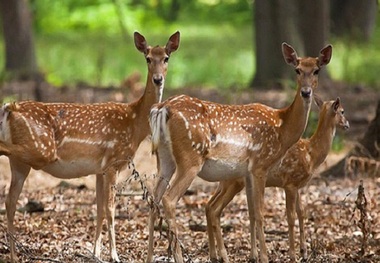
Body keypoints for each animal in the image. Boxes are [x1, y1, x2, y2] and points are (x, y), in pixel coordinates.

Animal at [1, 31, 180, 263]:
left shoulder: (99, 169)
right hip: (40, 149)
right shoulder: (113, 162)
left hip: (21, 164)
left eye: (166, 58)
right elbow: (111, 209)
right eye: (148, 58)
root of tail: (9, 108)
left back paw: (14, 255)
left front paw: (95, 253)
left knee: (10, 202)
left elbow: (99, 208)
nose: (158, 79)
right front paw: (114, 255)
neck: (135, 123)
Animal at [147, 41, 332, 263]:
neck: (282, 128)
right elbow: (260, 212)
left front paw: (256, 255)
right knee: (169, 199)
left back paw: (148, 257)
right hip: (190, 158)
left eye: (316, 70)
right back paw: (179, 257)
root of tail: (162, 108)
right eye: (297, 70)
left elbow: (252, 213)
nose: (306, 92)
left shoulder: (247, 172)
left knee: (153, 198)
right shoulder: (260, 164)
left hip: (165, 157)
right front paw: (265, 257)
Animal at [206, 96, 348, 262]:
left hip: (228, 183)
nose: (347, 124)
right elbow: (290, 217)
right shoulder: (290, 183)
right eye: (342, 111)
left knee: (210, 206)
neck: (311, 154)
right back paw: (223, 255)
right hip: (234, 181)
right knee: (215, 208)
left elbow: (301, 212)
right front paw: (293, 255)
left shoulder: (297, 184)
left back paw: (219, 255)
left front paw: (304, 252)